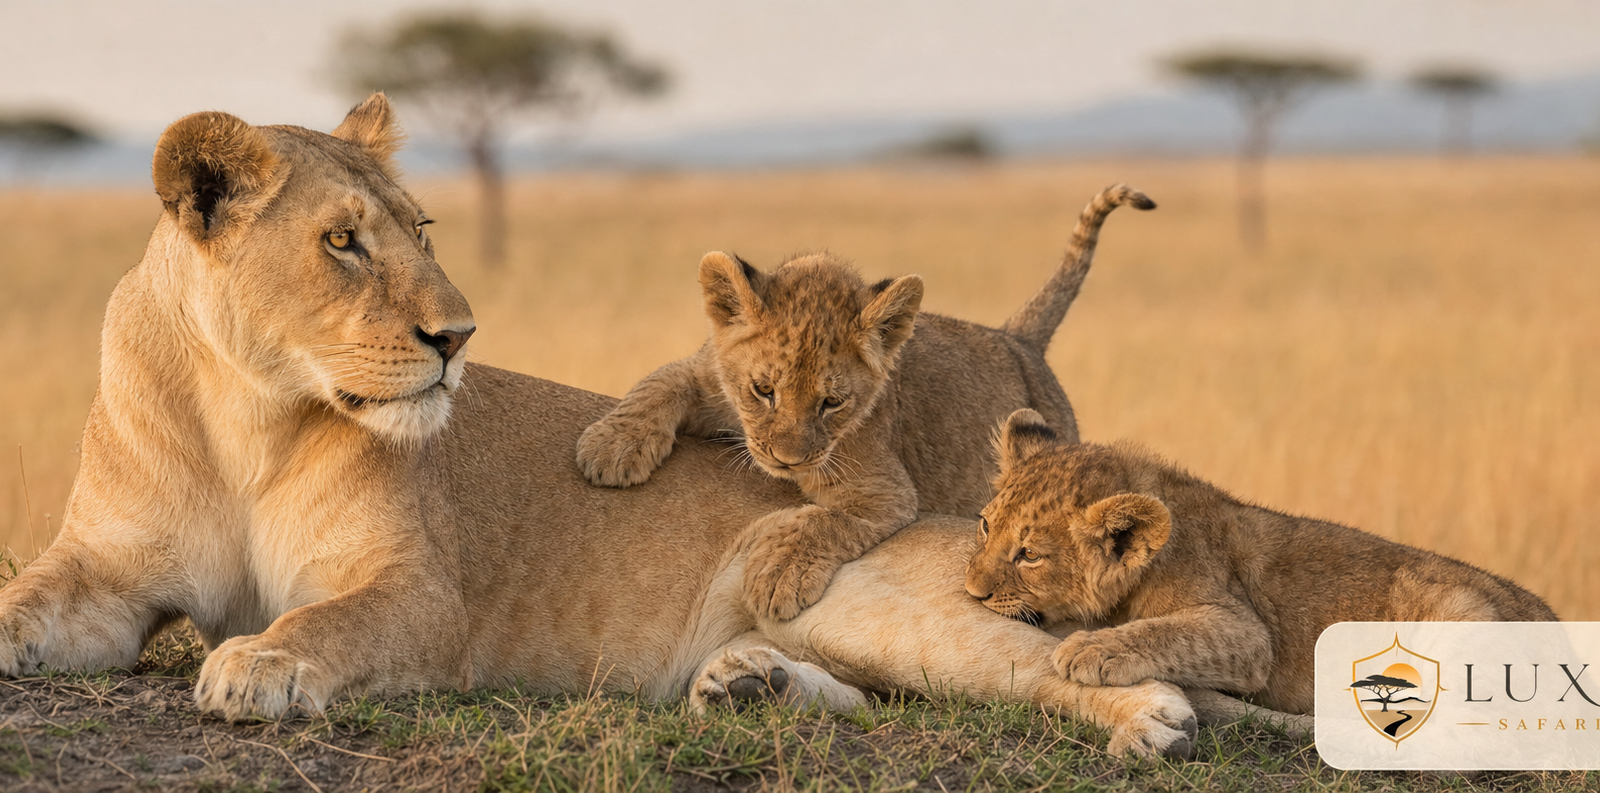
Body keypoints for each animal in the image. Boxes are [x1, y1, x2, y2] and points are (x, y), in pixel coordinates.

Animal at [577, 188, 1154, 620]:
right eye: (764, 390)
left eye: (831, 402)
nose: (787, 460)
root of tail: (1018, 338)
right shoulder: (707, 378)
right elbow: (660, 381)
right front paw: (612, 447)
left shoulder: (886, 490)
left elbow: (826, 520)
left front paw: (778, 574)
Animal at [966, 409, 1559, 714]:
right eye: (985, 525)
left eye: (1029, 555)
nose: (972, 592)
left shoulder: (1247, 634)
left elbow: (1168, 632)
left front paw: (1091, 649)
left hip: (1462, 608)